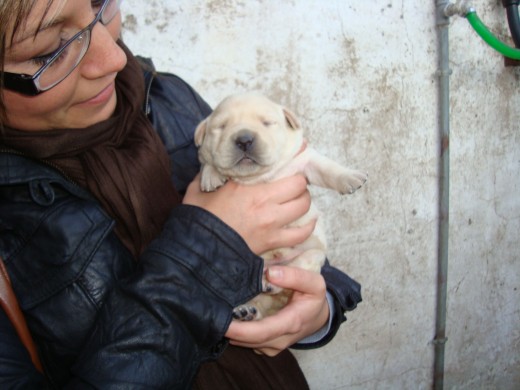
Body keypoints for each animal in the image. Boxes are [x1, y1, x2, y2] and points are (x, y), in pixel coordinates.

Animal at [193, 93, 368, 322]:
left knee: (292, 272)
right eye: (221, 127)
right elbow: (207, 162)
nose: (244, 139)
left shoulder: (304, 160)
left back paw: (269, 284)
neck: (256, 177)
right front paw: (211, 177)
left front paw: (350, 177)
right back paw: (245, 310)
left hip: (312, 255)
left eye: (267, 123)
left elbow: (326, 167)